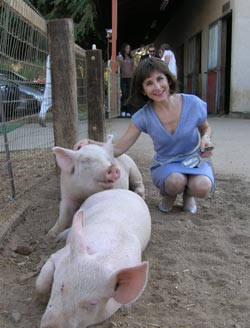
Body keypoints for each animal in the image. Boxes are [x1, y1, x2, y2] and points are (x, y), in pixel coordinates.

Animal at [36, 190, 151, 328]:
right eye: (62, 286)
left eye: (93, 303)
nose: (52, 326)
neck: (103, 259)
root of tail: (126, 191)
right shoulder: (58, 256)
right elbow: (41, 283)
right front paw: (43, 299)